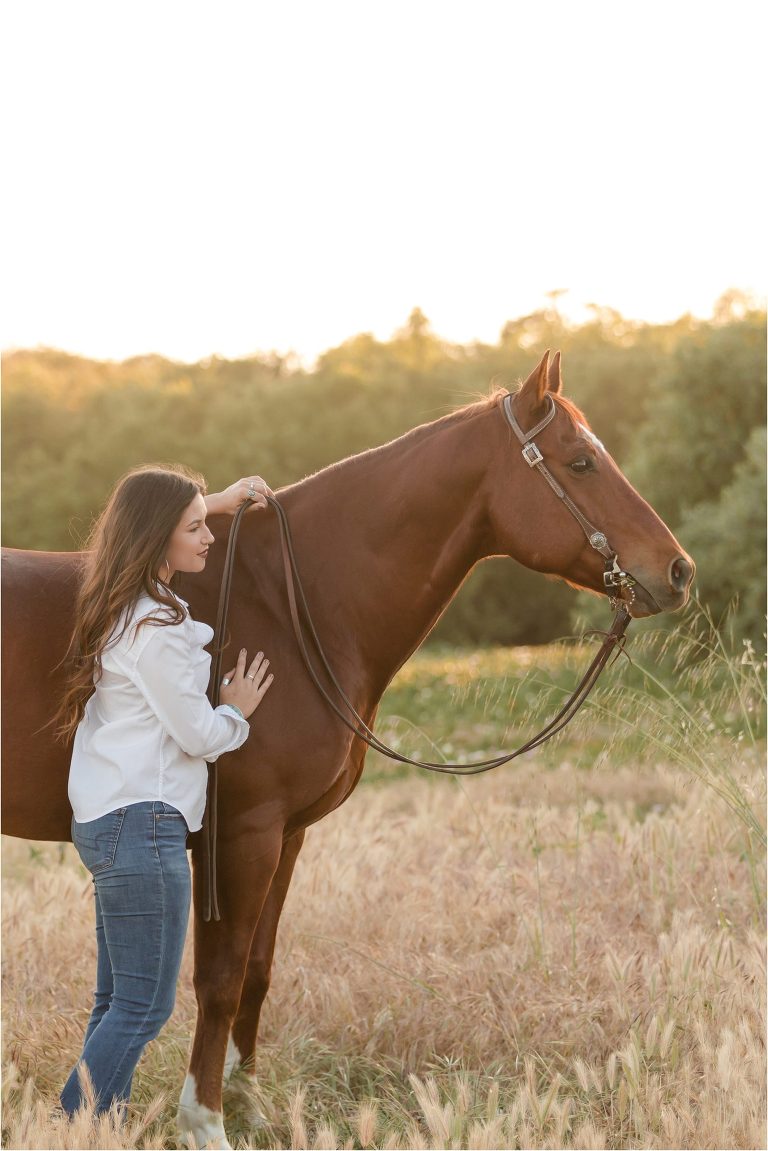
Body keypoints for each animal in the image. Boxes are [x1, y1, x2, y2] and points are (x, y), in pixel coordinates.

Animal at [1, 352, 694, 1148]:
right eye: (580, 461)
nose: (678, 571)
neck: (289, 604)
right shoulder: (242, 833)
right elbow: (220, 977)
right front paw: (206, 1121)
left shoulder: (287, 835)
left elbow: (258, 970)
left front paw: (251, 1106)